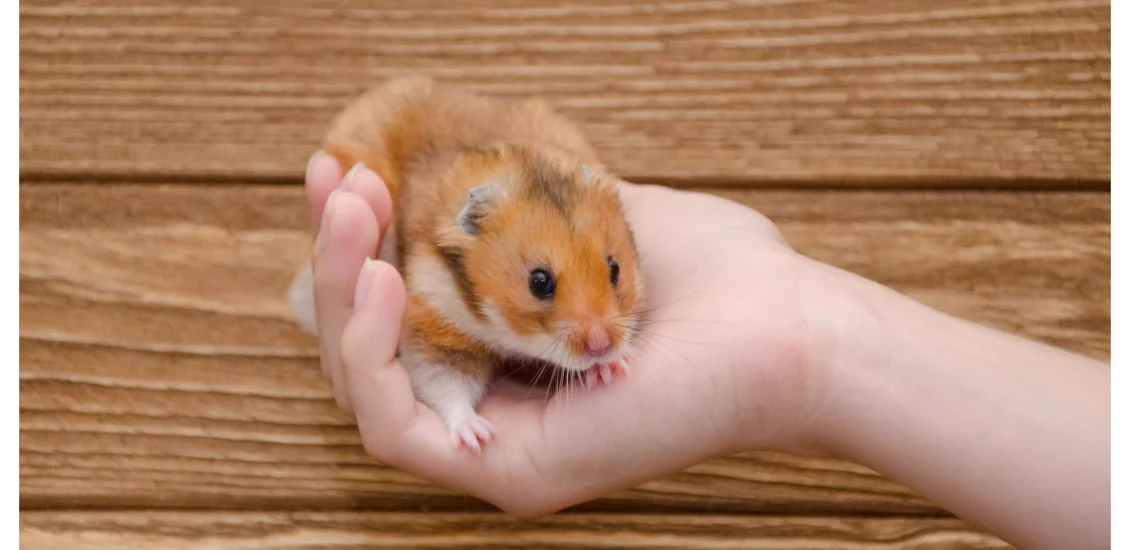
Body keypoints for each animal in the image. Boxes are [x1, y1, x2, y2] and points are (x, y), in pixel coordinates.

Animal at [288, 76, 644, 453]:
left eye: (615, 269)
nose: (602, 347)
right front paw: (477, 437)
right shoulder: (434, 323)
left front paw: (613, 367)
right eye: (539, 282)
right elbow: (446, 383)